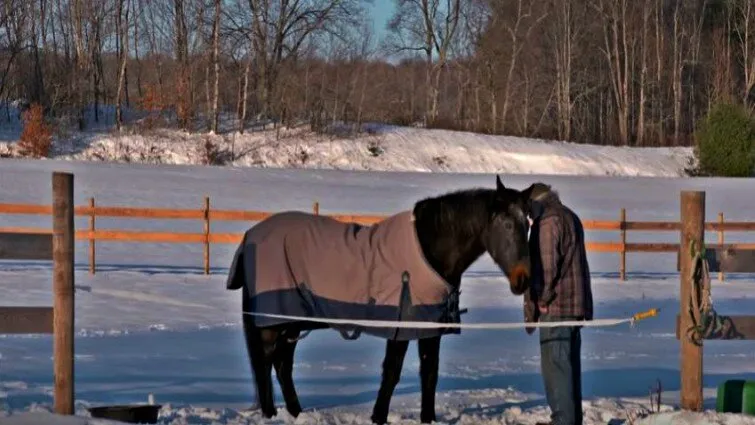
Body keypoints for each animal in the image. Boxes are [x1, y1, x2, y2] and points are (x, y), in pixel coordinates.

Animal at [225, 175, 536, 424]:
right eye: (506, 224)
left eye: (528, 224)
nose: (523, 279)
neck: (427, 250)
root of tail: (250, 236)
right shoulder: (401, 327)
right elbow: (392, 373)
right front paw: (378, 417)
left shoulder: (429, 328)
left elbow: (429, 374)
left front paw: (427, 419)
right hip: (273, 324)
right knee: (265, 363)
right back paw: (270, 415)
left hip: (292, 324)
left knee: (282, 365)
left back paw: (296, 413)